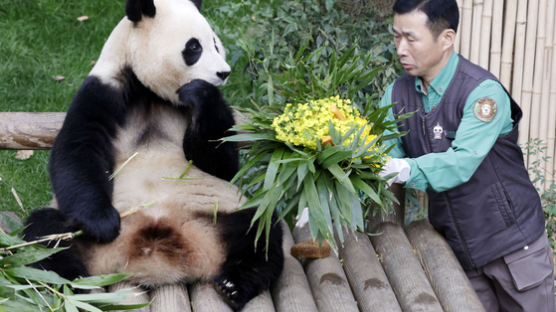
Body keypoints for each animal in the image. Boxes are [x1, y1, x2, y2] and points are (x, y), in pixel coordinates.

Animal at [22, 0, 282, 308]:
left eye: (215, 44)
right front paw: (103, 223)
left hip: (221, 212)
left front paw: (201, 91)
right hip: (75, 229)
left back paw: (233, 284)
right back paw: (73, 284)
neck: (150, 93)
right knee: (45, 234)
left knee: (260, 226)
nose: (223, 73)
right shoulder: (104, 90)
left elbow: (223, 163)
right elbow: (78, 149)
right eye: (194, 47)